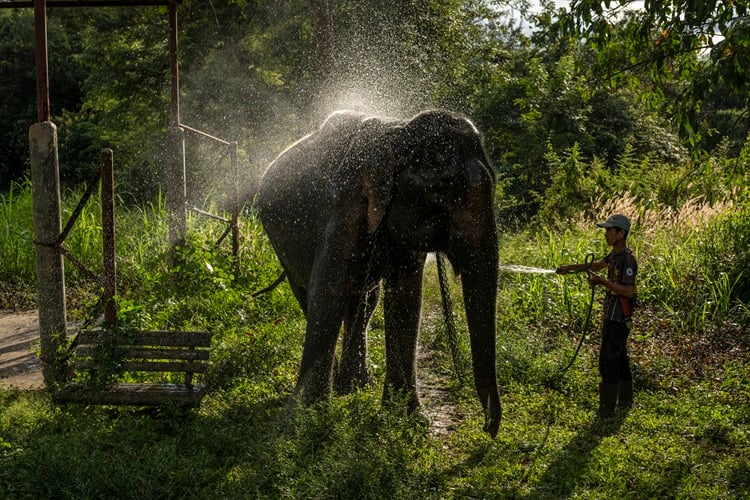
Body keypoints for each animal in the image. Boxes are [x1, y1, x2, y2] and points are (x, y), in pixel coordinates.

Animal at [255, 109, 501, 437]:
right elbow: (328, 292)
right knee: (309, 295)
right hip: (280, 245)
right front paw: (301, 424)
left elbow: (406, 298)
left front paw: (409, 419)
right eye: (444, 189)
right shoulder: (344, 208)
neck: (395, 133)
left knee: (364, 301)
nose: (488, 428)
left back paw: (353, 386)